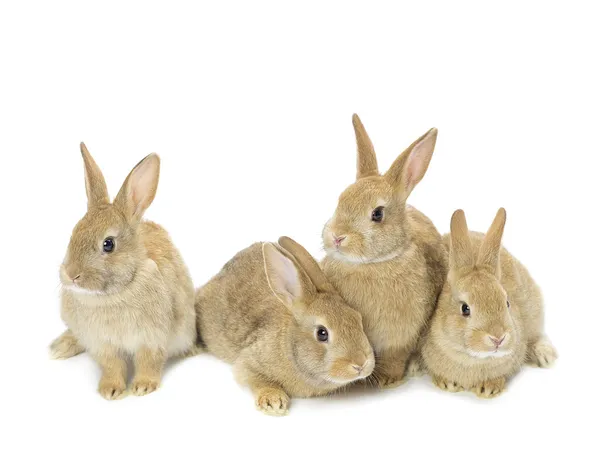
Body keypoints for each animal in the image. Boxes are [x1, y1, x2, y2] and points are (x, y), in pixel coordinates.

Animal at [49, 144, 196, 400]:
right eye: (74, 233)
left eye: (108, 244)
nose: (71, 275)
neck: (114, 293)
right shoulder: (103, 343)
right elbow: (112, 365)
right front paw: (110, 390)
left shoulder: (153, 337)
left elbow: (149, 361)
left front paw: (143, 386)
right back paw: (60, 347)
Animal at [197, 236, 376, 414]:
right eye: (322, 333)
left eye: (358, 319)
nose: (360, 364)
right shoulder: (249, 363)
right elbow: (256, 379)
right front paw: (273, 402)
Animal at [322, 114, 448, 386]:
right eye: (341, 199)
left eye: (377, 214)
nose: (337, 237)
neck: (374, 263)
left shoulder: (402, 337)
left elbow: (395, 357)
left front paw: (388, 380)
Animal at [420, 208, 556, 398]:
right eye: (465, 308)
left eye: (507, 303)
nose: (498, 338)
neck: (473, 358)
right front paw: (448, 384)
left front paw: (489, 388)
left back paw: (545, 356)